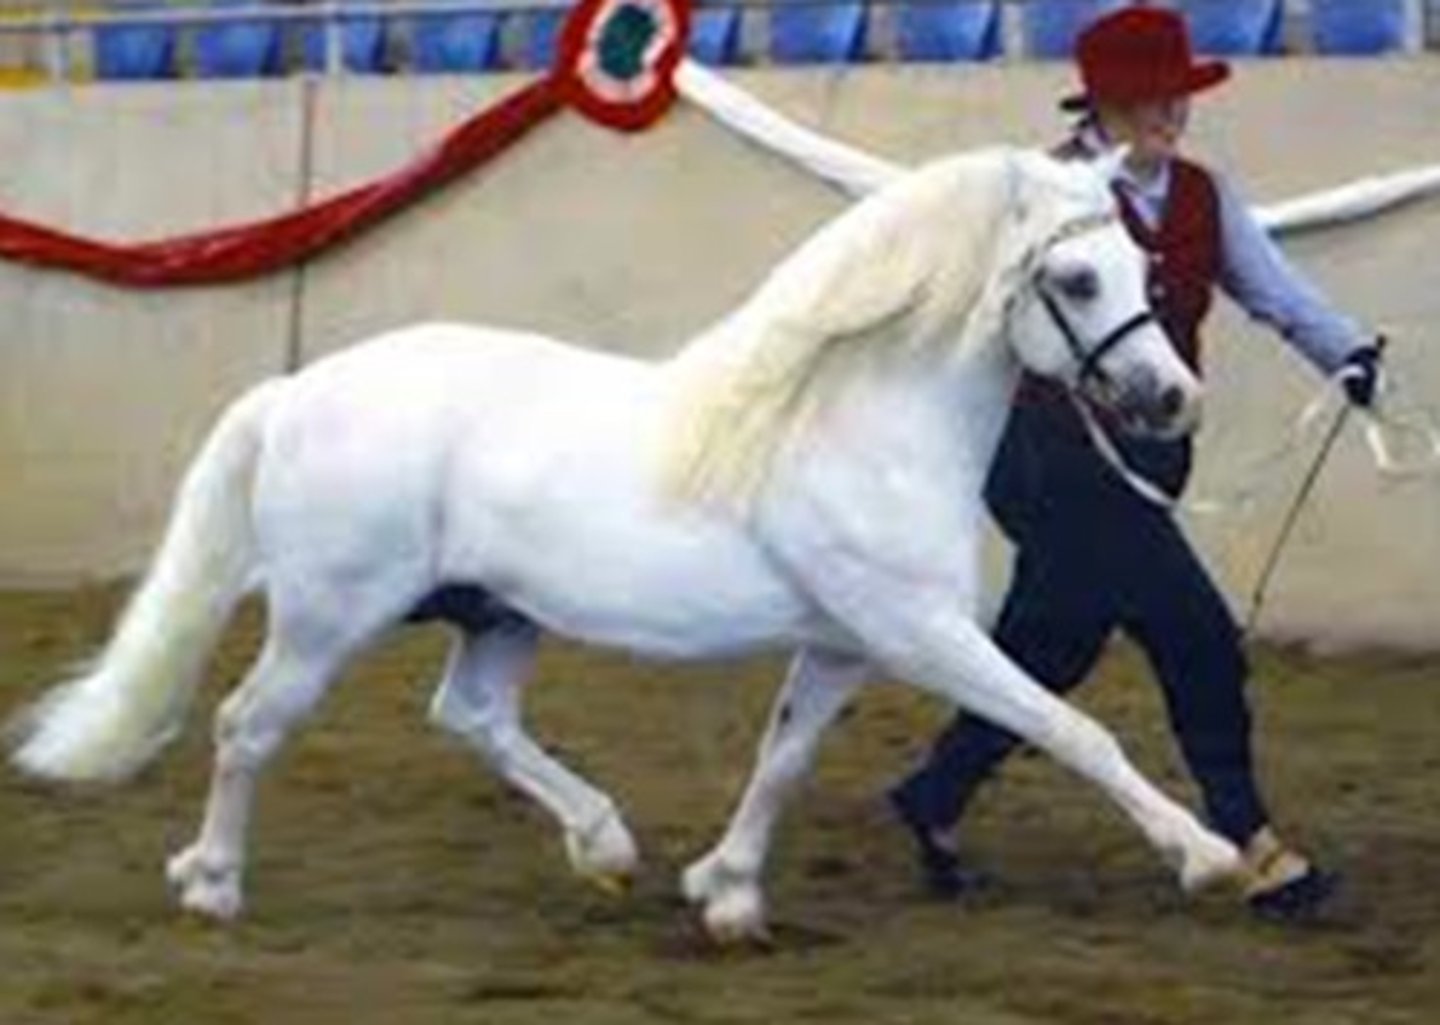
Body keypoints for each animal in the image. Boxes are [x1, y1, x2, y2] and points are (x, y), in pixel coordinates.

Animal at [10, 144, 1238, 942]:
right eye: (1075, 277)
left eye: (1140, 266)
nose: (1173, 399)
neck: (859, 422)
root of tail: (297, 389)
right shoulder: (919, 633)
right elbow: (1070, 727)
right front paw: (1208, 857)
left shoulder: (845, 642)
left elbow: (783, 757)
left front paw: (727, 892)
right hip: (328, 615)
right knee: (248, 724)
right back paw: (212, 883)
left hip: (498, 613)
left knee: (470, 714)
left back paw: (603, 847)